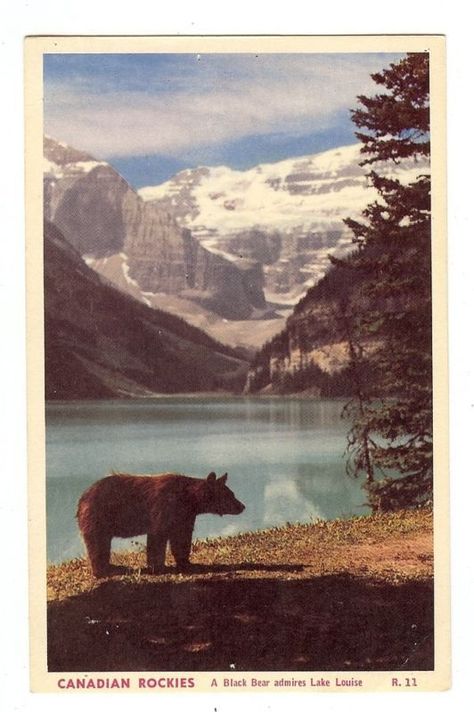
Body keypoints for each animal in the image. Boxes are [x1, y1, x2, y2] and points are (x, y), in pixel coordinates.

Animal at [76, 472, 246, 580]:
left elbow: (181, 539)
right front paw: (158, 567)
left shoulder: (185, 516)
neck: (190, 499)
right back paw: (104, 571)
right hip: (97, 517)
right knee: (97, 544)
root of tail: (82, 497)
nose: (242, 506)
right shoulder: (165, 507)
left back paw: (113, 566)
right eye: (230, 495)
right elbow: (158, 537)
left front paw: (187, 563)